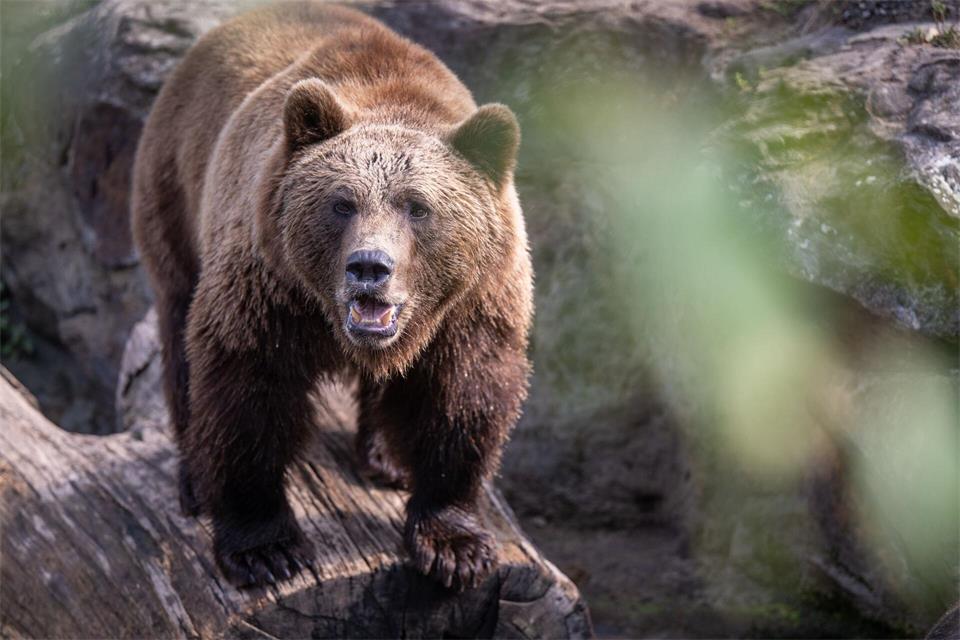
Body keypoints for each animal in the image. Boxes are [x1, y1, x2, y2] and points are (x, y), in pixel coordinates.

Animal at [131, 1, 532, 592]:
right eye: (342, 203)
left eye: (417, 206)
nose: (369, 267)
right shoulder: (269, 287)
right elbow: (245, 390)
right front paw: (264, 548)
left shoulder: (472, 303)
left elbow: (462, 398)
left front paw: (453, 545)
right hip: (176, 189)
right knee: (179, 328)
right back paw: (193, 479)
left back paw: (388, 458)